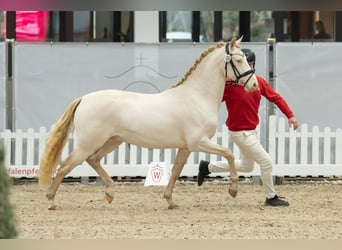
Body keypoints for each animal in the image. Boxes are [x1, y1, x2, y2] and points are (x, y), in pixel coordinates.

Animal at [38, 36, 258, 209]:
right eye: (239, 60)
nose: (254, 85)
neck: (197, 96)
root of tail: (84, 98)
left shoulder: (186, 147)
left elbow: (176, 171)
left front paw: (170, 201)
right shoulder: (198, 142)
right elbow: (229, 154)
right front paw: (233, 190)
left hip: (112, 140)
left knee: (93, 160)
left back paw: (110, 193)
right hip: (89, 143)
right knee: (65, 166)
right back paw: (52, 202)